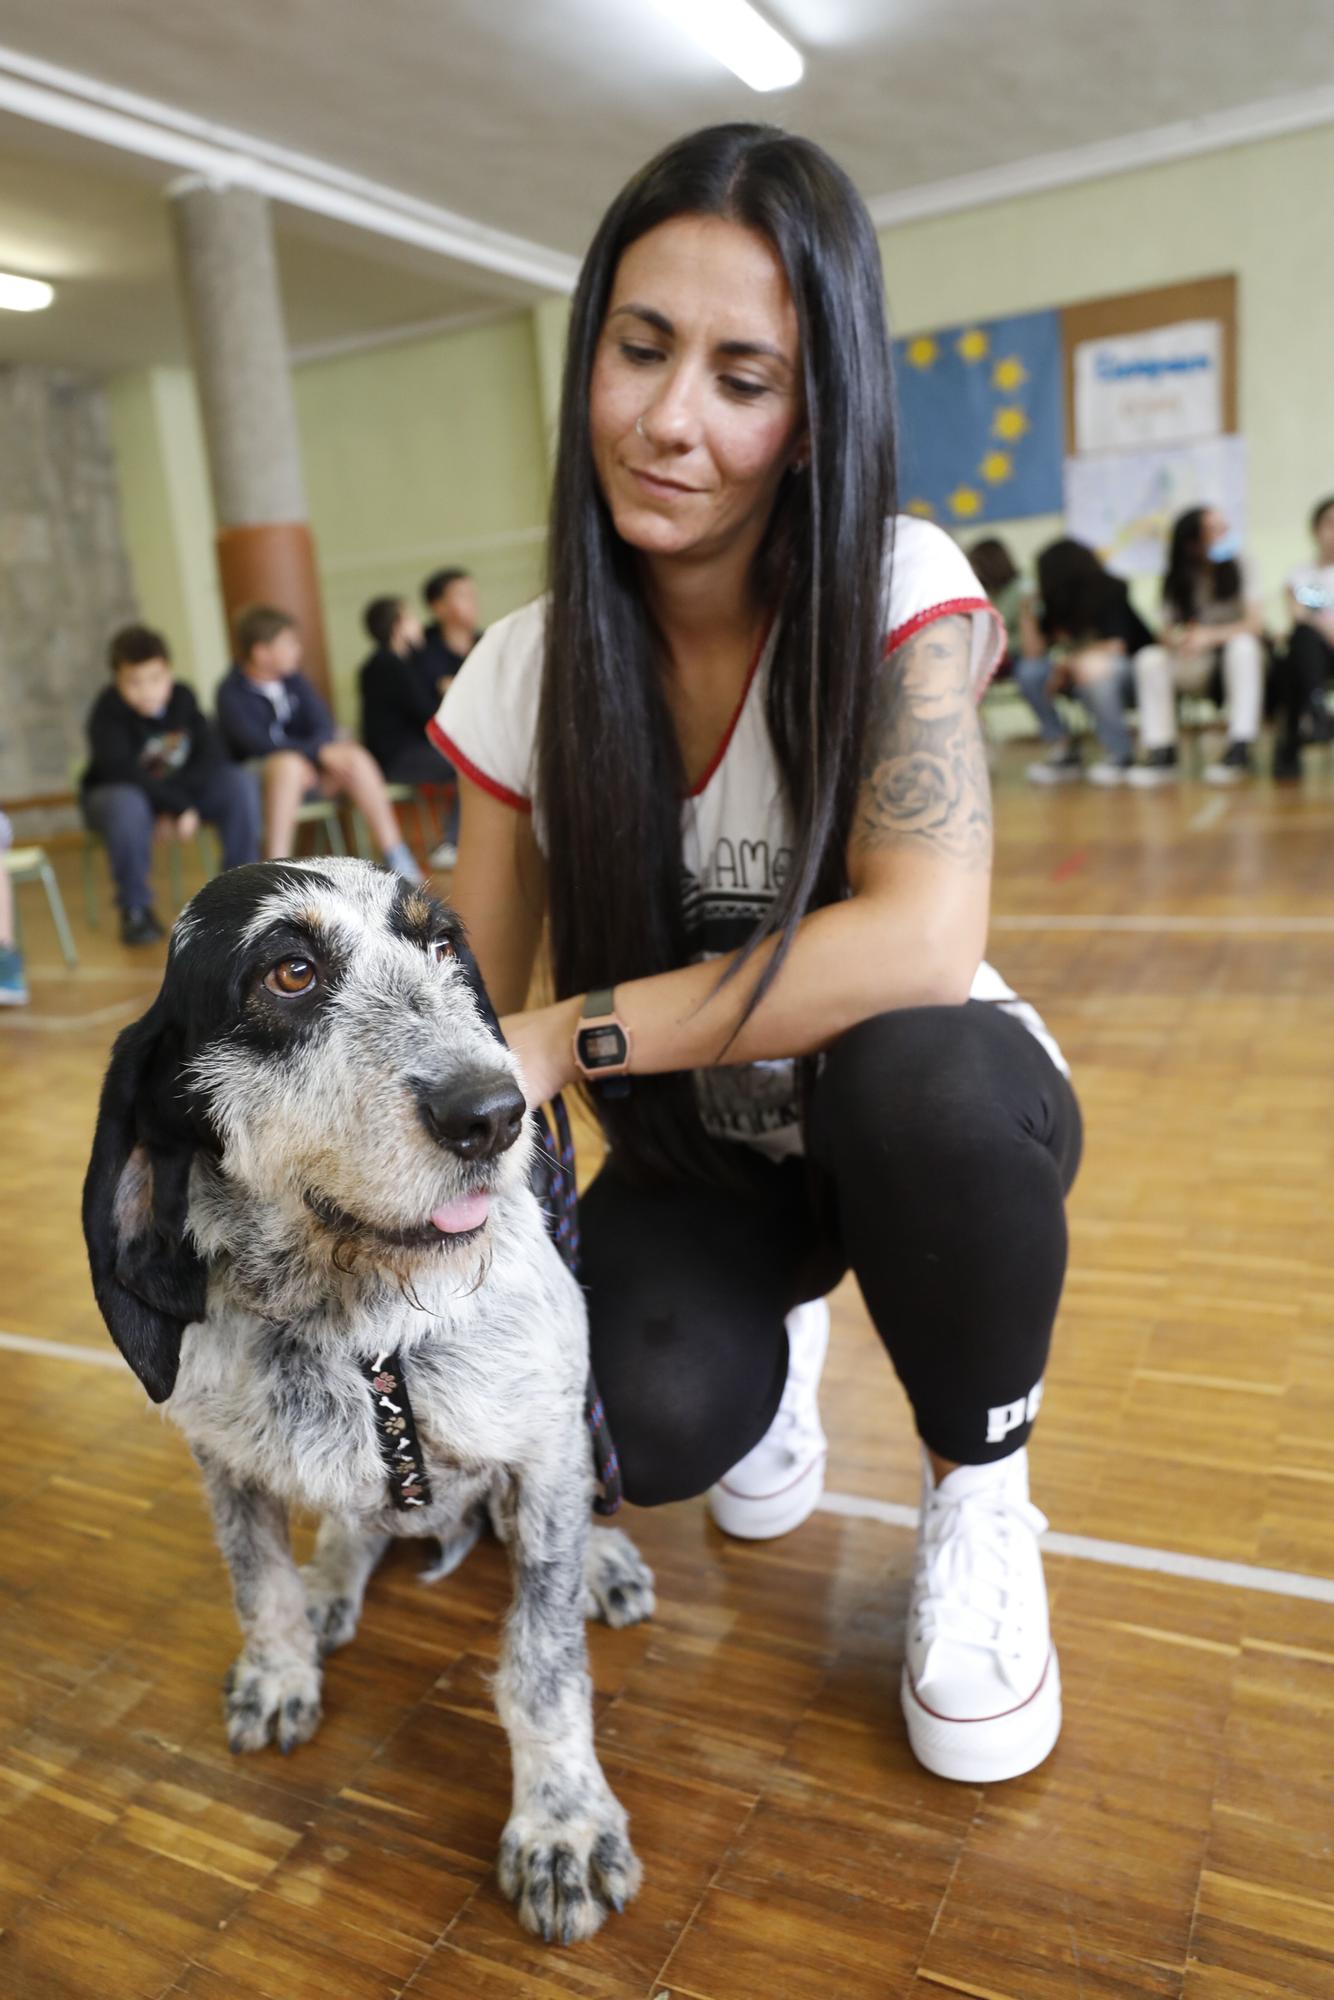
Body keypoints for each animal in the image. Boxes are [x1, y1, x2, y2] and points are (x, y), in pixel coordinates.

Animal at [81, 856, 656, 1936]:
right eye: (291, 972)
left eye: (442, 946)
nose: (494, 1112)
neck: (359, 1324)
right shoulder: (223, 1463)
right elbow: (257, 1585)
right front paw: (280, 1670)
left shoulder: (540, 1452)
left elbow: (544, 1662)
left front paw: (559, 1822)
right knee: (353, 1530)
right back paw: (330, 1586)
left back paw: (603, 1560)